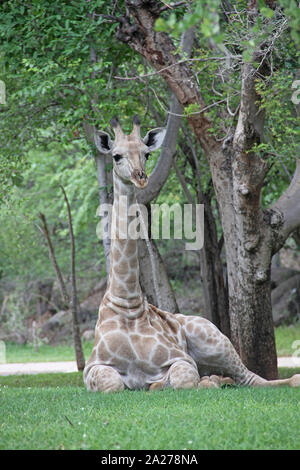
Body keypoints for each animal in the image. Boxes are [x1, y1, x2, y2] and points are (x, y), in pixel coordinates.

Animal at [83, 117, 300, 392]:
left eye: (146, 154)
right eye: (116, 156)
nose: (140, 178)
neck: (127, 304)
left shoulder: (181, 359)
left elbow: (182, 379)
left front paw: (165, 384)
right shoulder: (92, 368)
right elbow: (113, 383)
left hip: (215, 340)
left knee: (252, 378)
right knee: (233, 379)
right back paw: (215, 379)